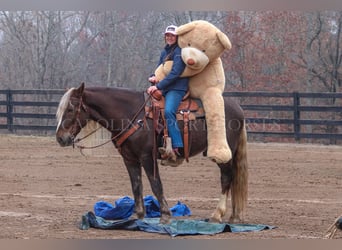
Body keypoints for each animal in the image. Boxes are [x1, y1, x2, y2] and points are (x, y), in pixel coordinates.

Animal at [56, 82, 248, 225]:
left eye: (71, 109)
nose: (60, 138)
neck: (132, 113)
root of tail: (238, 108)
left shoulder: (147, 157)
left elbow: (156, 184)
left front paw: (165, 215)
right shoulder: (130, 159)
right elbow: (136, 185)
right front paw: (138, 215)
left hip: (224, 154)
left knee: (226, 178)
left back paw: (217, 215)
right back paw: (234, 216)